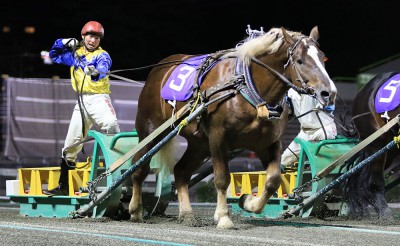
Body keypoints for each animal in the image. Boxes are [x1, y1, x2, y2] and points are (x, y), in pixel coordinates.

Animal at [130, 26, 336, 228]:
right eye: (300, 61)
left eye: (322, 57)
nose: (329, 93)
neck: (248, 89)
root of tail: (161, 68)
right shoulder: (218, 137)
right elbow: (222, 178)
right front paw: (223, 217)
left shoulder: (269, 143)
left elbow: (273, 180)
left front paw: (248, 202)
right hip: (150, 130)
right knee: (139, 168)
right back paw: (136, 210)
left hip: (199, 144)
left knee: (181, 171)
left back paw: (187, 213)